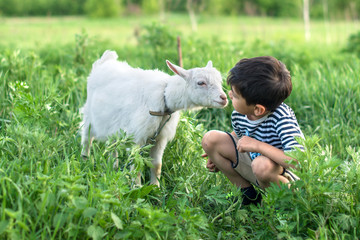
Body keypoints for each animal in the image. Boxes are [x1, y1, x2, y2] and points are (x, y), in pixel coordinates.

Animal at [81, 50, 228, 186]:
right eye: (200, 82)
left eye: (220, 81)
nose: (224, 98)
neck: (164, 97)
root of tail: (105, 60)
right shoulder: (138, 136)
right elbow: (137, 165)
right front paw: (137, 187)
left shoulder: (160, 138)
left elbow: (157, 164)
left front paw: (155, 187)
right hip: (89, 116)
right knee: (87, 139)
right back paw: (84, 160)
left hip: (113, 124)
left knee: (112, 145)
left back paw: (114, 166)